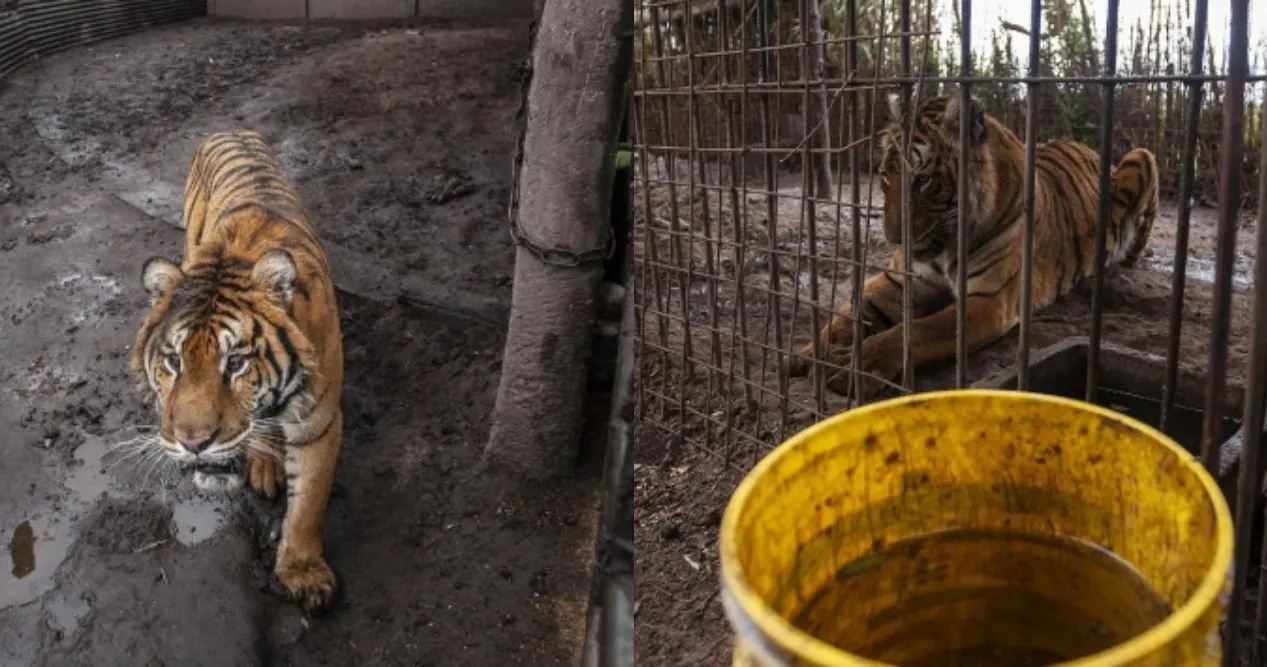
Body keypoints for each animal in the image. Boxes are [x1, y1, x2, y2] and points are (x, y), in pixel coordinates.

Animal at [131, 129, 344, 613]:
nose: (193, 443)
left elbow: (310, 502)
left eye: (235, 363)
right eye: (174, 361)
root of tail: (227, 129)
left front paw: (304, 573)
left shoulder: (320, 420)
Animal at [785, 92, 1159, 398]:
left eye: (922, 181)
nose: (894, 239)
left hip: (1141, 156)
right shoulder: (900, 280)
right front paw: (808, 353)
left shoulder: (987, 300)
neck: (944, 246)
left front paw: (857, 367)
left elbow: (916, 330)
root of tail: (1085, 147)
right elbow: (848, 311)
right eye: (885, 177)